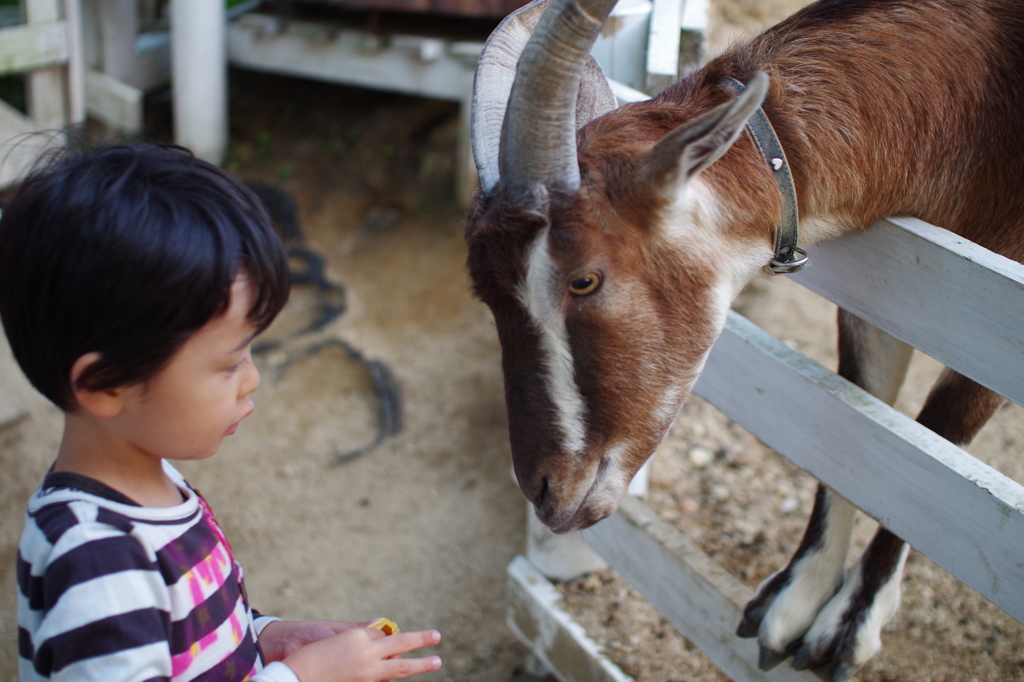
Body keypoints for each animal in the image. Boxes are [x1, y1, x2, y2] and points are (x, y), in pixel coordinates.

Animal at [466, 0, 1024, 675]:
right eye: (485, 294)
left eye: (584, 279)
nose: (544, 490)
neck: (973, 94)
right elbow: (859, 433)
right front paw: (795, 600)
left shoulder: (999, 313)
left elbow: (942, 426)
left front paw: (851, 623)